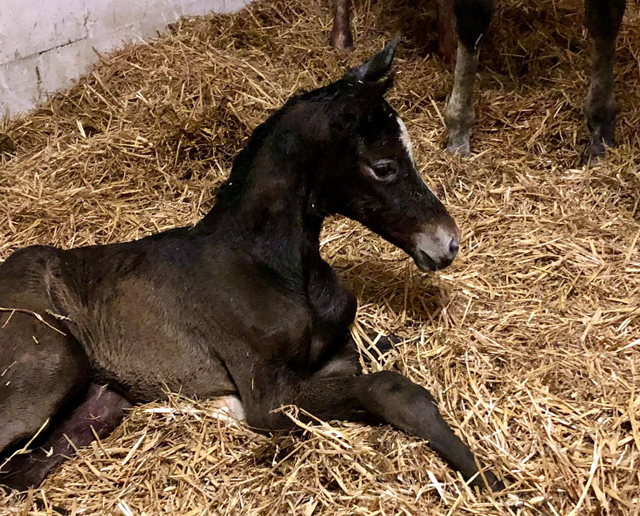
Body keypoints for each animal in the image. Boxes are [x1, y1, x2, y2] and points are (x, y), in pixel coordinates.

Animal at [1, 43, 504, 492]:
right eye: (383, 166)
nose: (447, 242)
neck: (274, 269)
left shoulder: (338, 352)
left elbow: (385, 348)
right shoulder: (270, 398)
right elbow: (391, 389)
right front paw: (484, 474)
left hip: (97, 405)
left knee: (21, 473)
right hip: (51, 364)